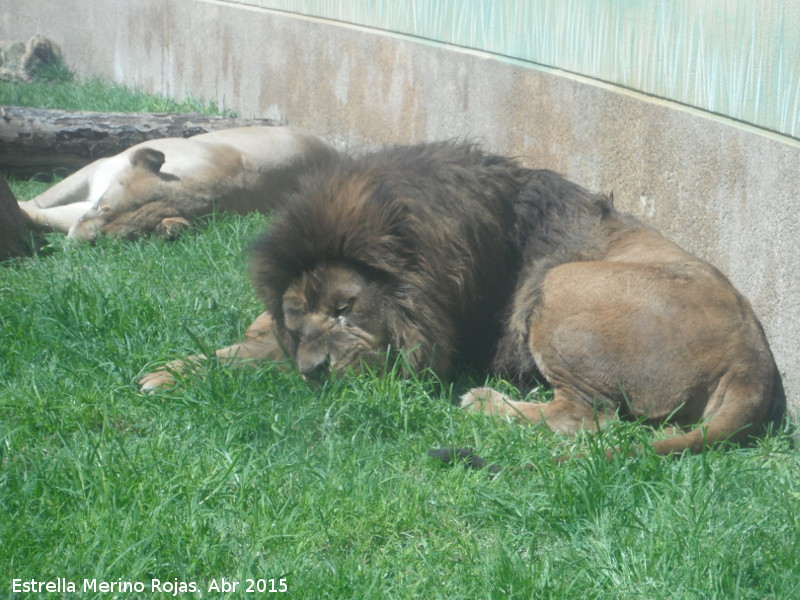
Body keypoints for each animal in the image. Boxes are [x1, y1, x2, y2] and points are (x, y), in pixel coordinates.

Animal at [18, 125, 338, 240]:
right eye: (103, 208)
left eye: (113, 240)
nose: (77, 243)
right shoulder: (98, 169)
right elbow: (45, 201)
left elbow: (51, 217)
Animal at [138, 141, 780, 458]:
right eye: (298, 319)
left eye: (346, 308)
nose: (315, 371)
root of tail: (753, 363)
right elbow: (241, 349)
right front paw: (168, 371)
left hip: (561, 284)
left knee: (584, 418)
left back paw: (485, 403)